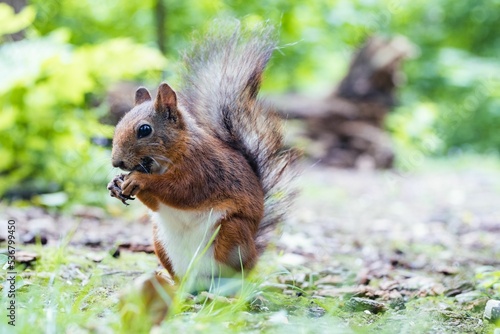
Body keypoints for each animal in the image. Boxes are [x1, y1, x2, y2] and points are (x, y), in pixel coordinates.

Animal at [107, 22, 298, 286]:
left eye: (144, 129)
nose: (116, 162)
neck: (168, 157)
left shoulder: (203, 169)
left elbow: (181, 191)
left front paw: (139, 180)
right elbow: (157, 204)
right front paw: (116, 183)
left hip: (232, 233)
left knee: (232, 273)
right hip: (160, 242)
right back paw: (172, 283)